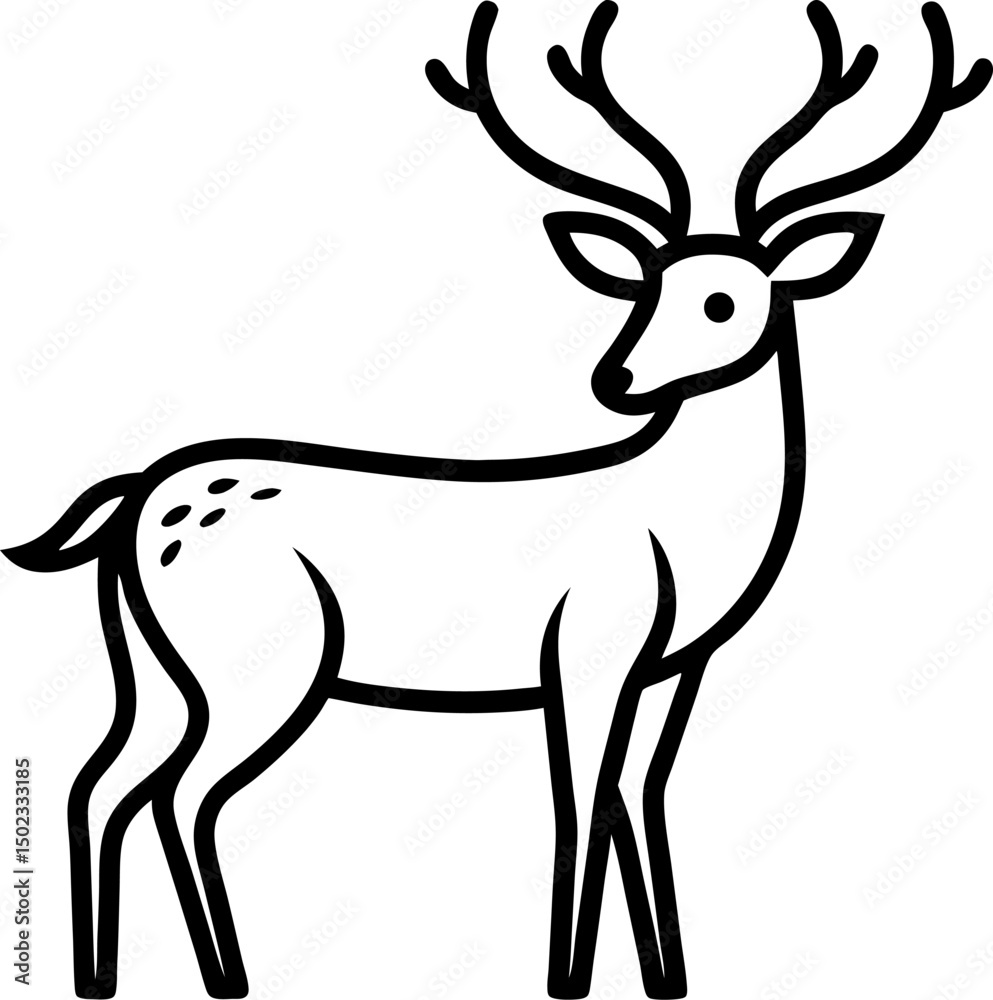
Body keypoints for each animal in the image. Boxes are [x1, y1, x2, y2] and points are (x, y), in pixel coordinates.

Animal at [5, 2, 989, 998]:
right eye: (644, 285)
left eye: (720, 301)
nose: (616, 377)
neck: (684, 531)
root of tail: (135, 498)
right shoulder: (587, 650)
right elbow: (580, 803)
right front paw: (567, 978)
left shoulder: (674, 668)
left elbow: (641, 796)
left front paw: (666, 975)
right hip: (256, 662)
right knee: (182, 793)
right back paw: (228, 977)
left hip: (153, 664)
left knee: (104, 780)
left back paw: (103, 974)